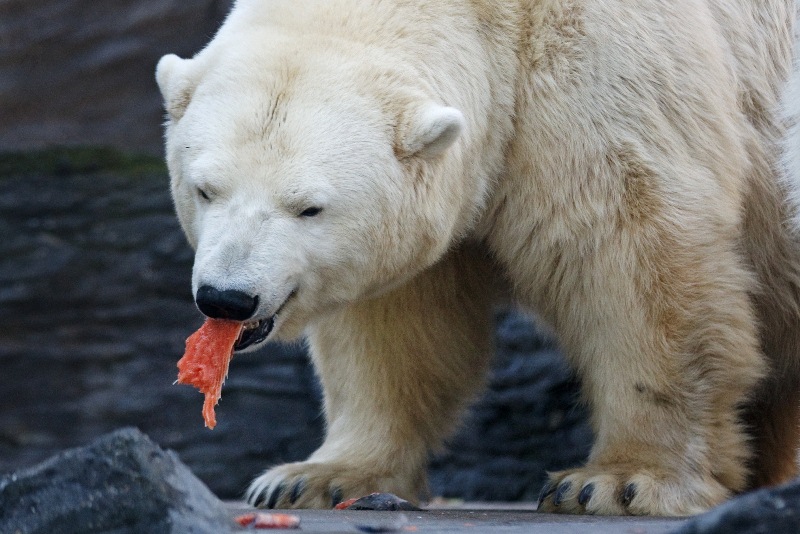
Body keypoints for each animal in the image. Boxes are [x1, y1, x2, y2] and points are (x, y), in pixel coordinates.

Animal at [158, 0, 800, 520]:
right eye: (206, 189)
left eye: (308, 208)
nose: (227, 297)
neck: (499, 21)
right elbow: (397, 325)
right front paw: (314, 477)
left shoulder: (607, 80)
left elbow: (631, 259)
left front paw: (622, 481)